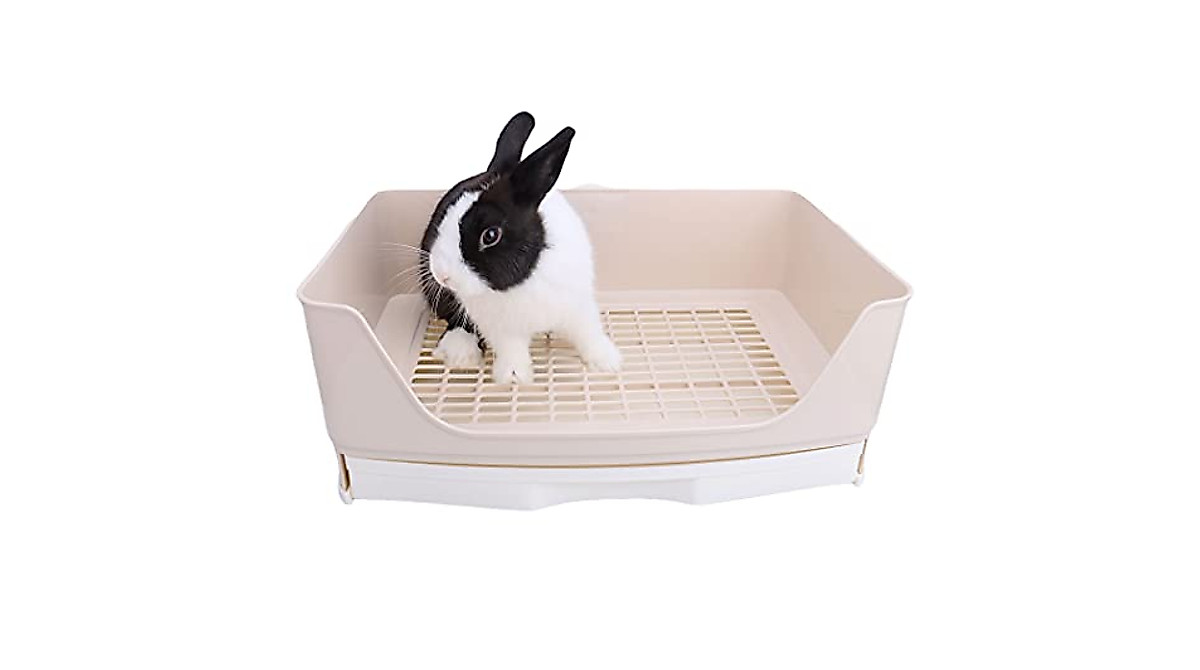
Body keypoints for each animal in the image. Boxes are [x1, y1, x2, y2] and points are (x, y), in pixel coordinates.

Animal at [419, 111, 621, 385]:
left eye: (490, 235)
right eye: (443, 214)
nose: (441, 275)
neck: (523, 282)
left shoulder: (578, 305)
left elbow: (588, 333)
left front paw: (607, 363)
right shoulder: (500, 328)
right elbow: (511, 349)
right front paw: (514, 378)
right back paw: (460, 354)